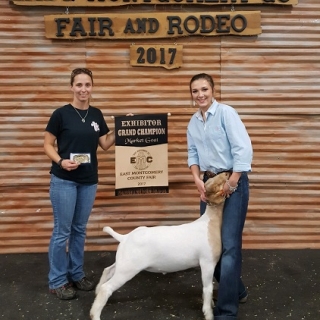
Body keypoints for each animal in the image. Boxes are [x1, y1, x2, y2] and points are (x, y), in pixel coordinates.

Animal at [90, 172, 230, 320]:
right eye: (218, 183)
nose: (227, 173)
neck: (210, 222)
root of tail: (125, 237)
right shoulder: (207, 263)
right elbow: (208, 288)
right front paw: (209, 313)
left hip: (123, 263)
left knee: (107, 270)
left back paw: (96, 291)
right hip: (128, 269)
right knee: (107, 288)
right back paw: (95, 314)